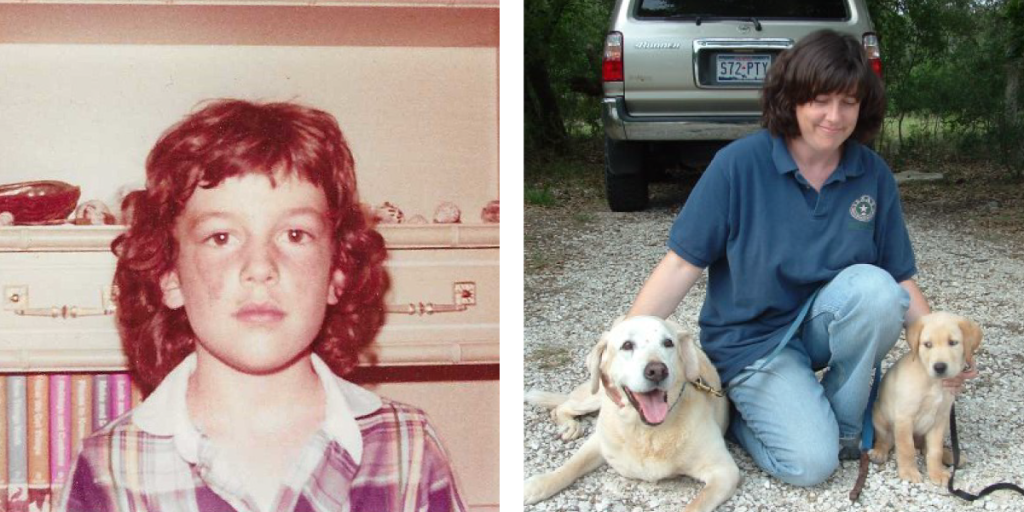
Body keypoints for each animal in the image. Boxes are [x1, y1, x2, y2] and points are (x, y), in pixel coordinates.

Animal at [524, 315, 741, 512]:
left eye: (668, 343)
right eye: (627, 345)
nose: (657, 371)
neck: (646, 431)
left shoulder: (724, 471)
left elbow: (694, 506)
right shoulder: (598, 441)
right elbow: (571, 465)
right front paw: (538, 485)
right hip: (595, 395)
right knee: (562, 406)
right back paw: (569, 426)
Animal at [868, 311, 978, 483]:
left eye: (953, 342)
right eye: (927, 344)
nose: (939, 367)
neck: (934, 383)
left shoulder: (940, 419)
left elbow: (935, 451)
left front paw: (937, 473)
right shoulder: (904, 417)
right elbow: (906, 448)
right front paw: (909, 472)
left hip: (946, 424)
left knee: (926, 448)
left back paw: (952, 456)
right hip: (880, 417)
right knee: (886, 440)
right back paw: (879, 453)